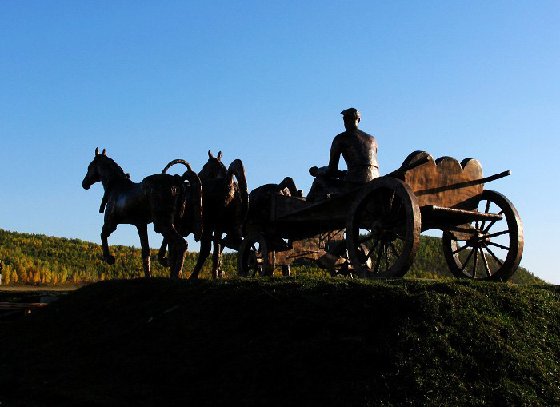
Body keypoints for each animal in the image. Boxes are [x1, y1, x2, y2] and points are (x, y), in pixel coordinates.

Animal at [80, 149, 199, 280]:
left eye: (90, 166)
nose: (84, 183)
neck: (116, 187)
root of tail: (176, 182)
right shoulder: (141, 225)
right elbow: (145, 252)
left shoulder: (111, 223)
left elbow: (103, 235)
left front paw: (109, 258)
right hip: (171, 222)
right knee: (172, 244)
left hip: (161, 221)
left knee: (181, 244)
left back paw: (175, 274)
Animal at [159, 151, 248, 280]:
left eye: (204, 166)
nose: (199, 175)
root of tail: (229, 182)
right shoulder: (217, 227)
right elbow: (217, 250)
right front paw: (217, 273)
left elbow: (172, 248)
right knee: (237, 245)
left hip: (208, 227)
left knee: (206, 249)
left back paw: (194, 275)